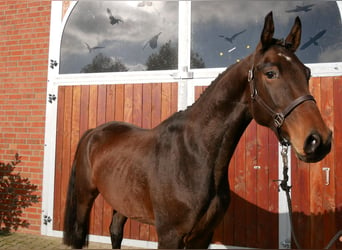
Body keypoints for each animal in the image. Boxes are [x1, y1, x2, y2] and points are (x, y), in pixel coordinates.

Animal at [63, 12, 332, 249]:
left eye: (307, 73)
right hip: (85, 198)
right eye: (270, 73)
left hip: (122, 201)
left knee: (116, 232)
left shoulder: (203, 236)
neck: (194, 156)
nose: (318, 140)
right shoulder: (170, 236)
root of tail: (93, 133)